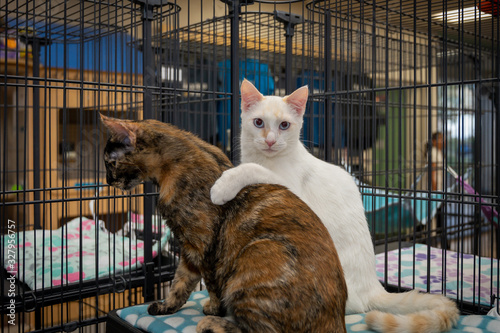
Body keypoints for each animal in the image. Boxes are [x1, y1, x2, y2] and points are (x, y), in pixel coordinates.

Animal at [209, 80, 458, 332]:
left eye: (284, 125)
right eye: (258, 122)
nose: (270, 140)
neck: (267, 158)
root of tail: (373, 286)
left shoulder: (288, 187)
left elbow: (250, 169)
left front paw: (222, 186)